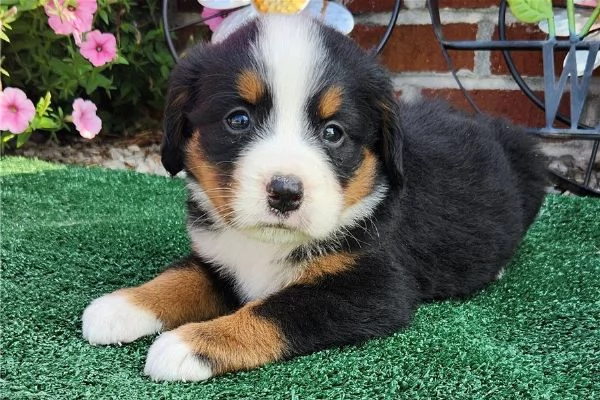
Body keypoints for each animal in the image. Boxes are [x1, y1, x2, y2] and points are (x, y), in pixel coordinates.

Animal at [81, 14, 548, 382]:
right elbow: (180, 277)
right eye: (238, 119)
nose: (285, 192)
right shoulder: (219, 257)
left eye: (333, 132)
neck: (267, 245)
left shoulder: (374, 287)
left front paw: (190, 344)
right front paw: (121, 306)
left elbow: (275, 310)